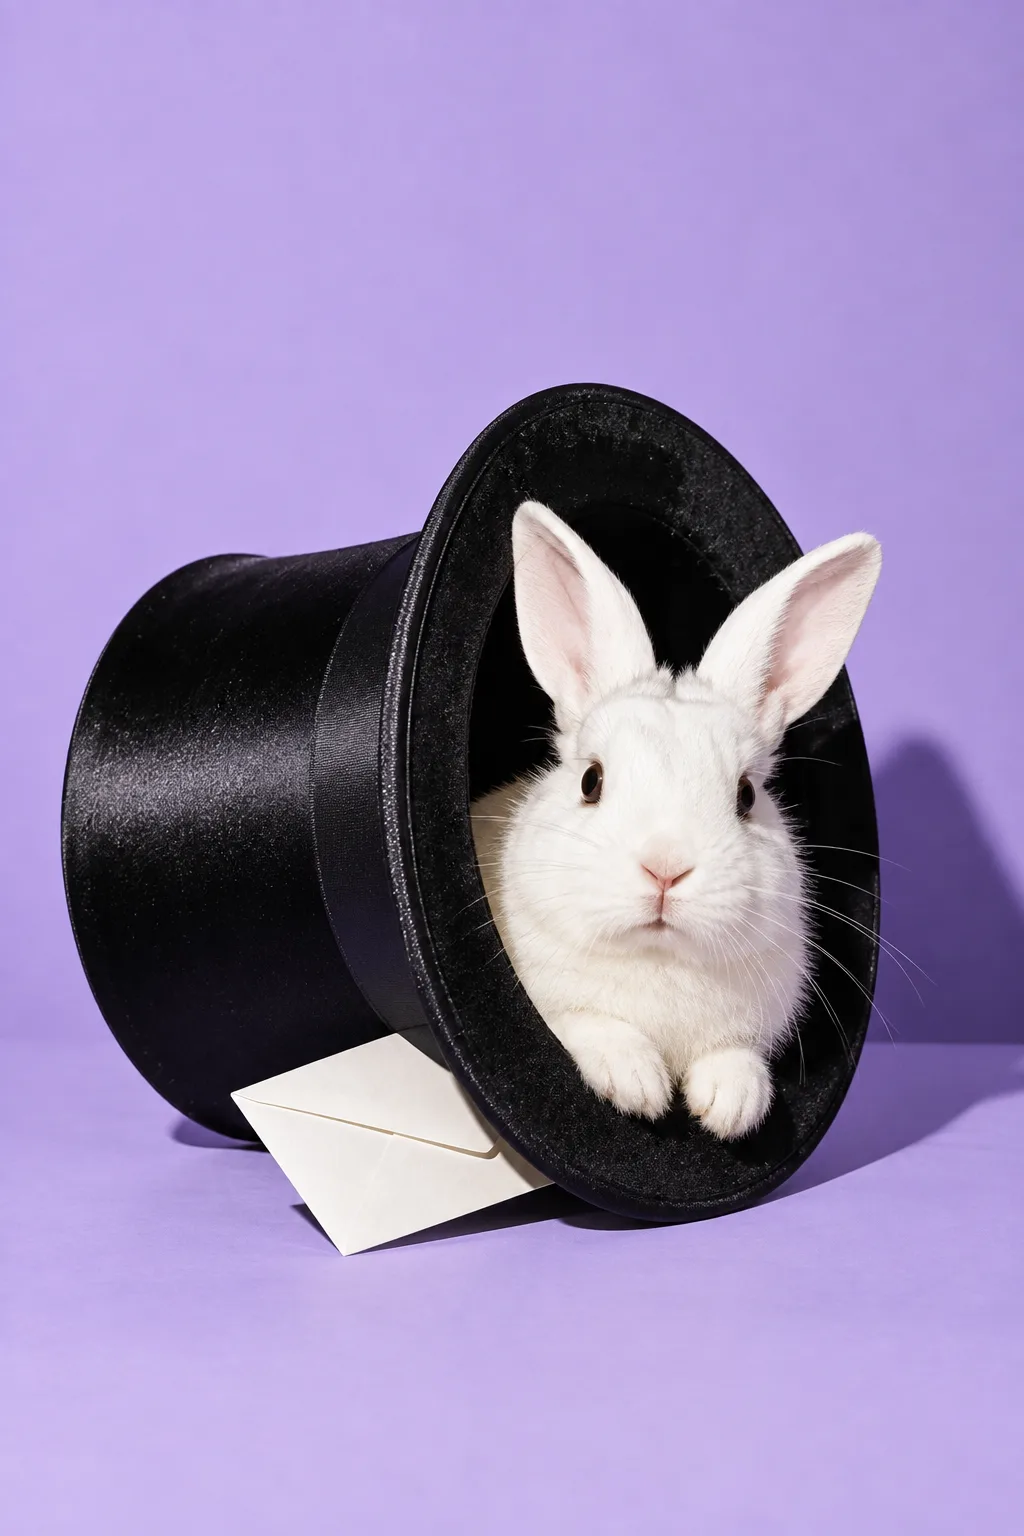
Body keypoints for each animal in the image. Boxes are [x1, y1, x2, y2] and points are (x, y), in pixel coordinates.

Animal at [471, 500, 881, 1140]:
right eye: (591, 781)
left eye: (746, 795)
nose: (665, 869)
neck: (659, 956)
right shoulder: (555, 1003)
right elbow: (589, 1023)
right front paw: (638, 1086)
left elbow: (734, 1054)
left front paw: (732, 1107)